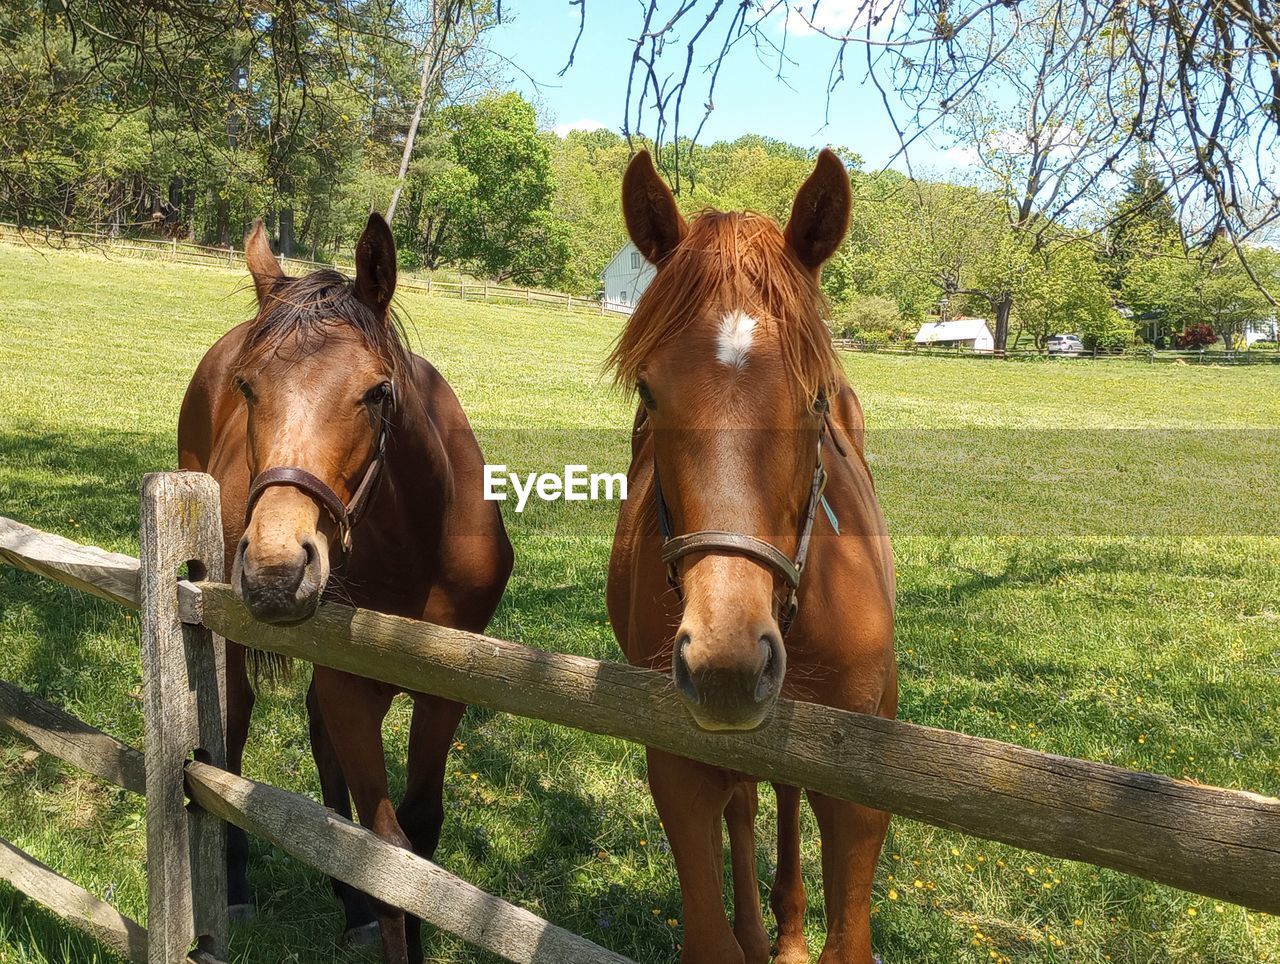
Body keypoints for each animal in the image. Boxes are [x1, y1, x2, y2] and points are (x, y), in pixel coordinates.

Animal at [176, 213, 514, 957]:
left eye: (377, 391)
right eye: (247, 388)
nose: (277, 571)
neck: (418, 543)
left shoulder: (444, 692)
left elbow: (419, 838)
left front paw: (375, 907)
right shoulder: (350, 688)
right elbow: (389, 853)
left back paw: (347, 898)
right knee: (232, 733)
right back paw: (238, 885)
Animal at [604, 152, 896, 962]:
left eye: (815, 399)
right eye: (649, 394)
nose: (726, 661)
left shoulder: (861, 789)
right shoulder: (677, 769)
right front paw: (745, 929)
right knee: (743, 804)